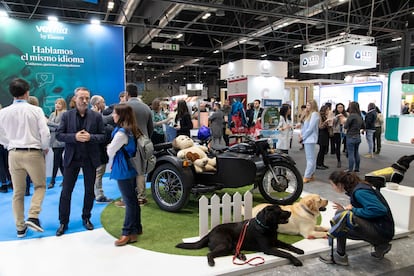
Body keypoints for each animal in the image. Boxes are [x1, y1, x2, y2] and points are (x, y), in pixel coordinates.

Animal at [175, 205, 304, 266]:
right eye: (279, 211)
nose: (290, 212)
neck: (265, 226)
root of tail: (210, 232)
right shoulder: (268, 248)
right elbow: (286, 253)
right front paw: (296, 261)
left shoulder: (275, 241)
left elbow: (289, 245)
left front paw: (299, 250)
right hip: (224, 243)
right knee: (209, 253)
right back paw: (212, 262)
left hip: (229, 244)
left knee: (233, 250)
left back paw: (241, 255)